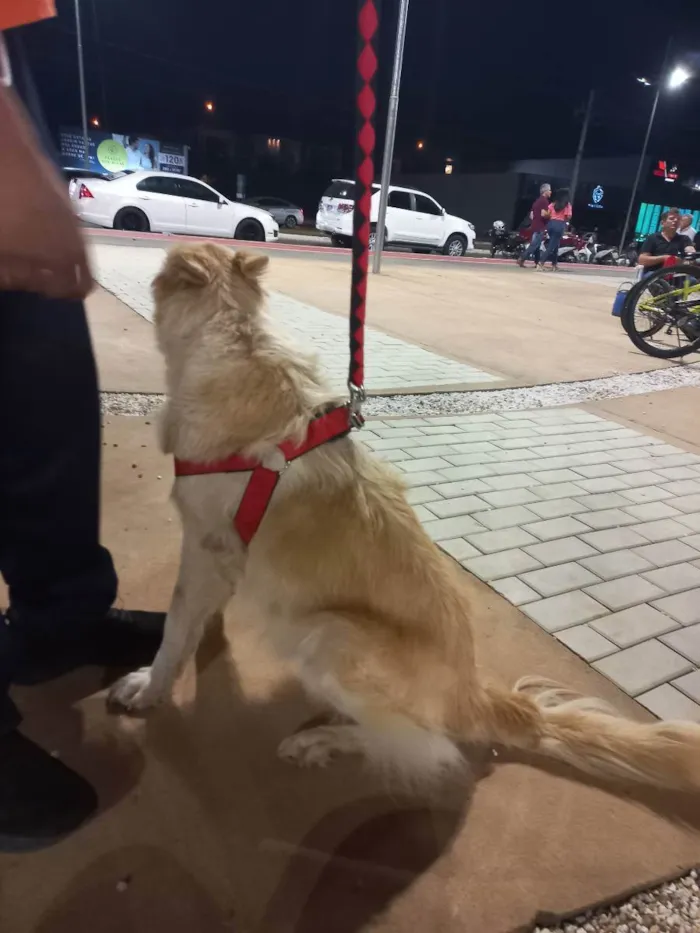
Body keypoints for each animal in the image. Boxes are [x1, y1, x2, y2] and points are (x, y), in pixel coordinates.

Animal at [108, 244, 700, 792]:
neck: (238, 342)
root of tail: (479, 699)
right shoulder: (226, 551)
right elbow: (201, 615)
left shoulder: (205, 543)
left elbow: (176, 627)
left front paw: (150, 686)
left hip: (329, 635)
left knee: (428, 748)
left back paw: (322, 739)